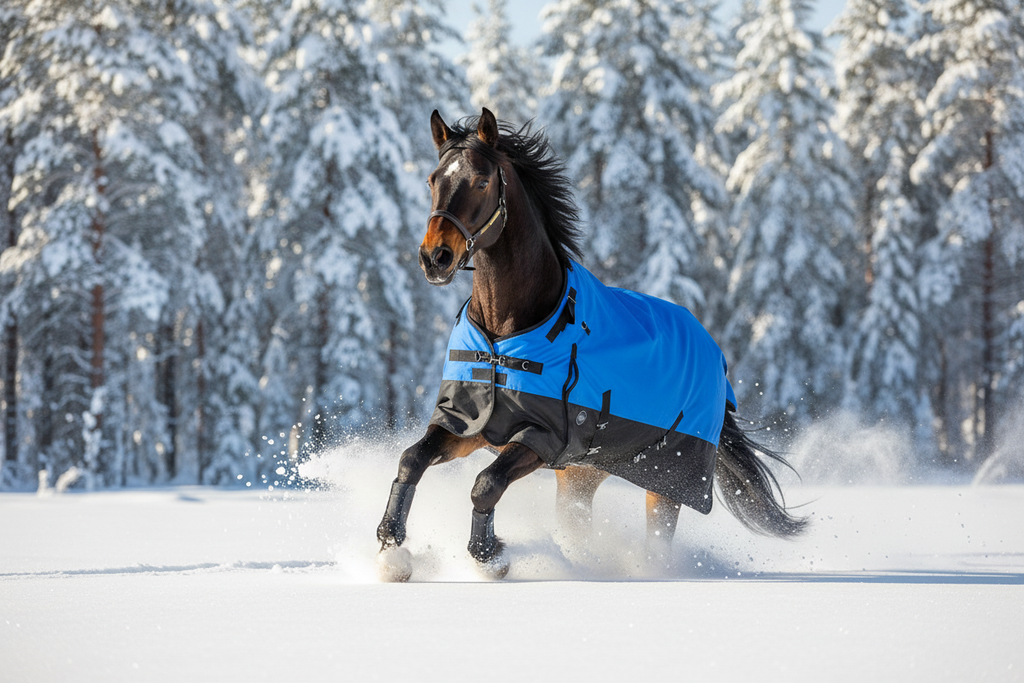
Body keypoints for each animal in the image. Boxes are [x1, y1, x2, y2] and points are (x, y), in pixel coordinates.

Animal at [376, 108, 806, 581]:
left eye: (483, 181)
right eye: (433, 178)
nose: (435, 257)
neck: (503, 335)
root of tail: (715, 353)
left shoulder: (540, 439)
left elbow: (486, 484)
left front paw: (490, 556)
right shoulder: (468, 424)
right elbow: (410, 460)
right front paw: (391, 552)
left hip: (667, 480)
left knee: (657, 541)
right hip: (581, 476)